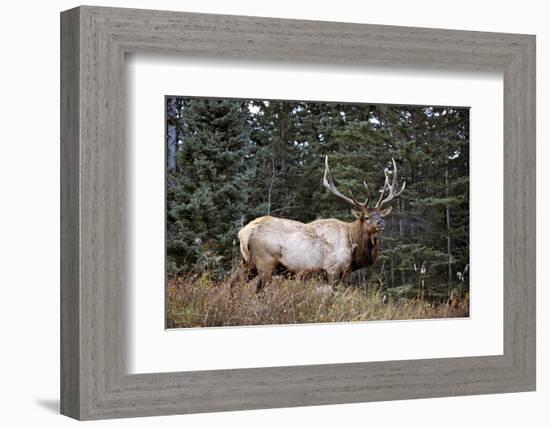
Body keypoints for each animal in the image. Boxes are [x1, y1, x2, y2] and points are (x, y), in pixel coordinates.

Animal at [237, 157, 406, 294]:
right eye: (366, 217)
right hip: (265, 262)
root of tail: (244, 232)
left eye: (381, 215)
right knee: (259, 290)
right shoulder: (332, 270)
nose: (381, 222)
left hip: (248, 263)